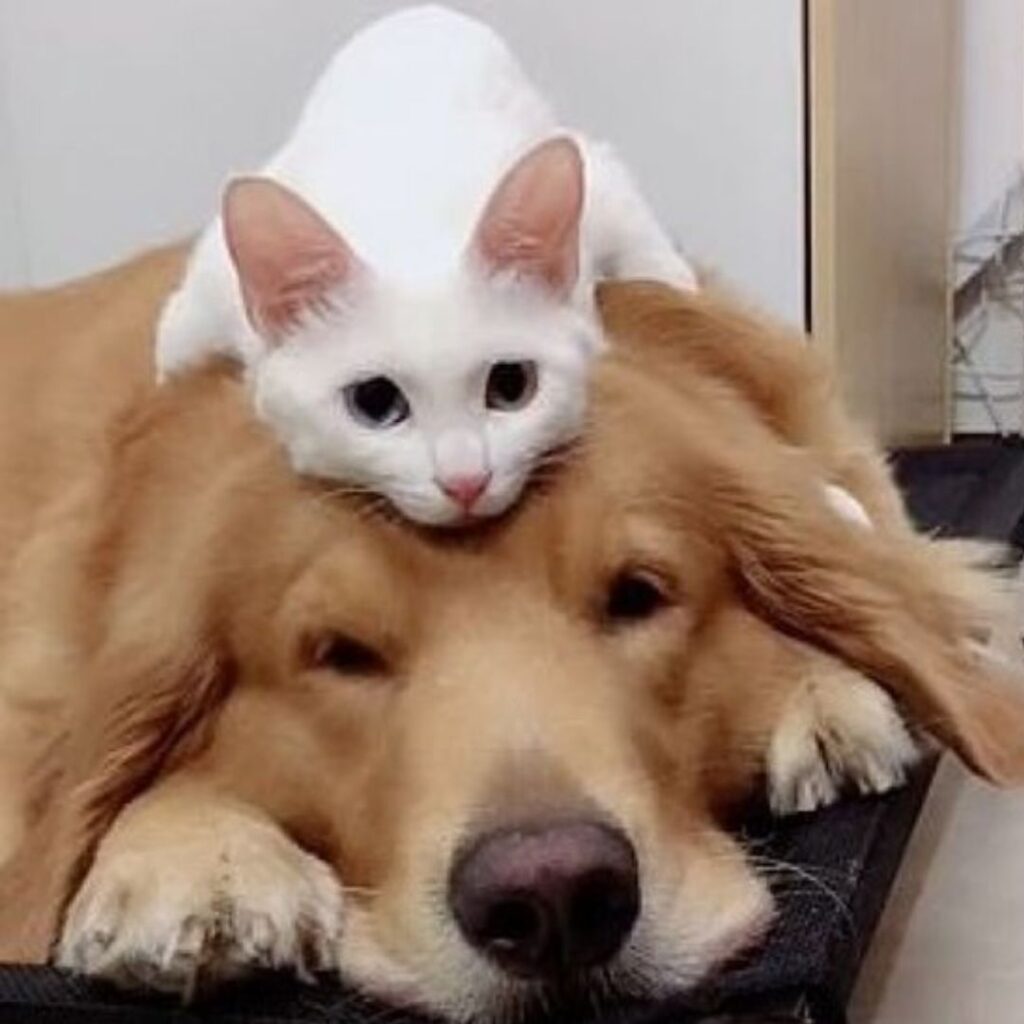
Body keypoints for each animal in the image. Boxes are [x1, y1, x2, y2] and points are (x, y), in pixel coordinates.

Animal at [155, 2, 696, 528]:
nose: (466, 482)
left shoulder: (603, 188)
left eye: (512, 384)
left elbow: (659, 265)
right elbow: (171, 356)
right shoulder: (205, 293)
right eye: (374, 401)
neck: (410, 221)